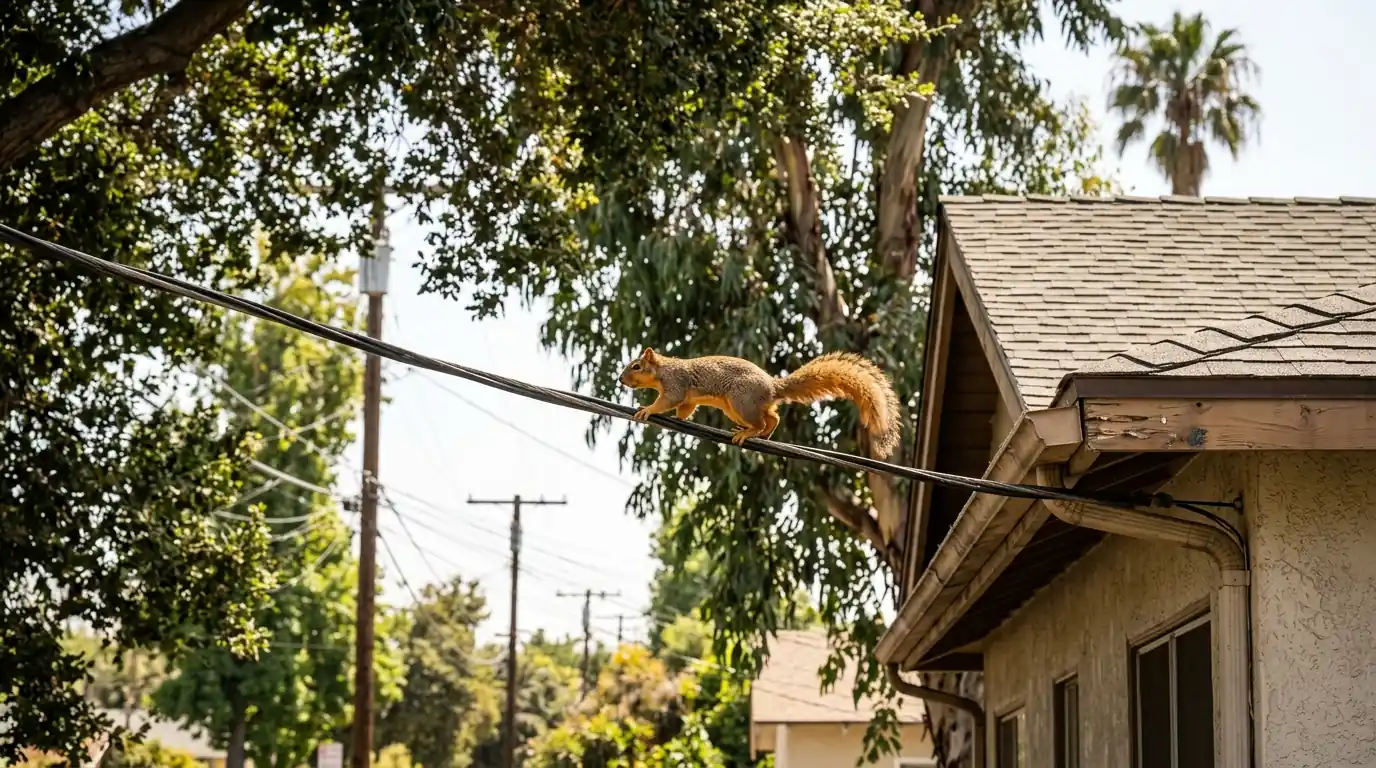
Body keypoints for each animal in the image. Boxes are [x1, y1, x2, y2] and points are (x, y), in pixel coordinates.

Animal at [618, 347, 903, 458]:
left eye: (637, 366)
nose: (621, 379)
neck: (663, 369)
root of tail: (772, 387)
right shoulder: (687, 397)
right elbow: (685, 408)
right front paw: (680, 418)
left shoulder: (676, 383)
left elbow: (668, 400)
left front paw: (646, 410)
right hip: (737, 407)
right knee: (772, 417)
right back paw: (760, 433)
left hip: (741, 401)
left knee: (763, 419)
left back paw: (749, 433)